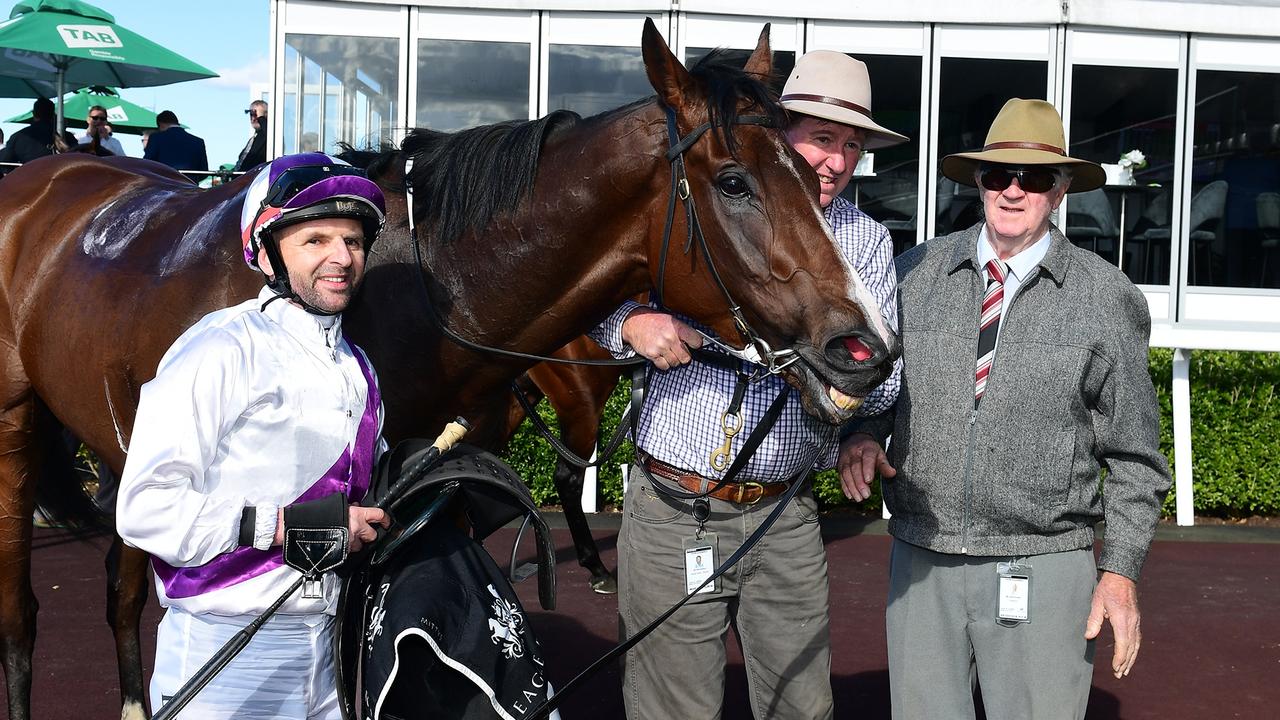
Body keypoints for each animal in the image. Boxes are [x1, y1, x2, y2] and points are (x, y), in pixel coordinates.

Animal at [0, 22, 890, 717]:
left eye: (811, 175)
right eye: (734, 182)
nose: (866, 348)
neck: (415, 292)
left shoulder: (437, 498)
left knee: (122, 578)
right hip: (16, 426)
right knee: (24, 614)